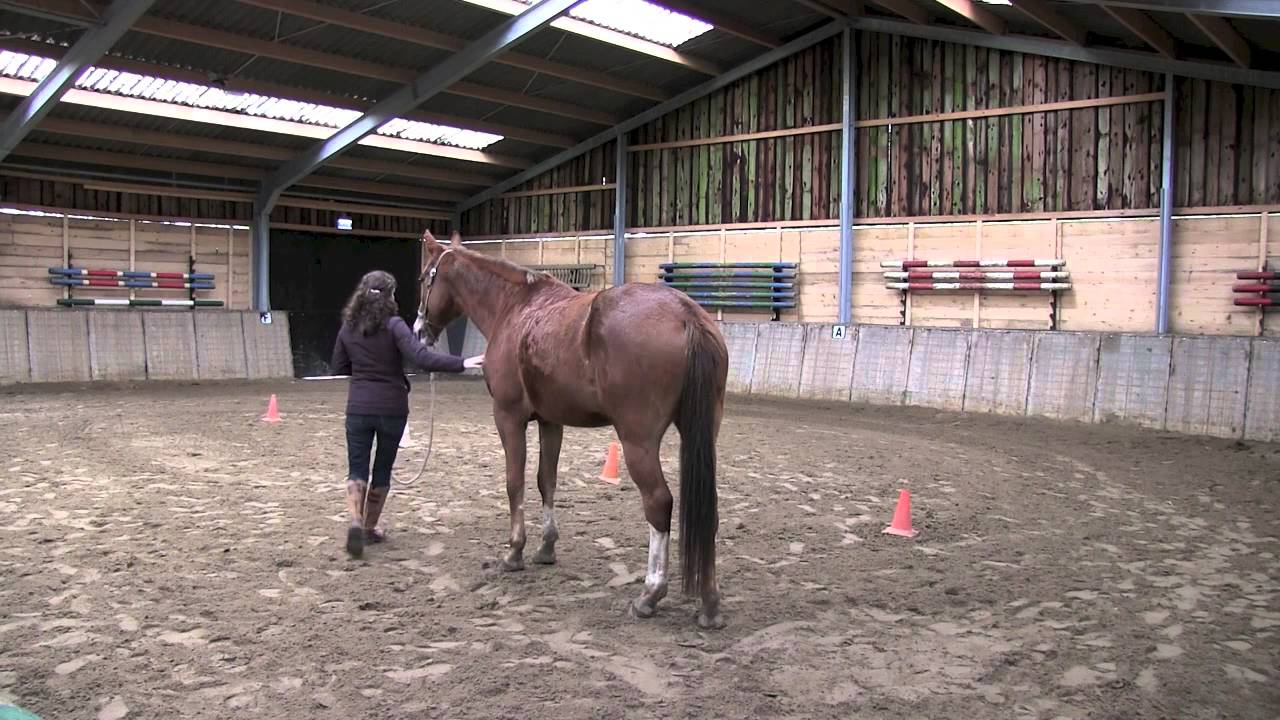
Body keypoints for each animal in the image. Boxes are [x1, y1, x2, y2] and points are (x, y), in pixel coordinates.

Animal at [412, 230, 729, 628]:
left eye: (424, 278)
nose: (419, 331)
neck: (515, 309)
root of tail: (686, 315)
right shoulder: (551, 421)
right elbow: (545, 481)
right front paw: (546, 547)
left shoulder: (508, 416)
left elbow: (514, 482)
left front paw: (514, 552)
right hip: (702, 435)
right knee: (707, 511)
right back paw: (709, 604)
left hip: (637, 441)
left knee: (658, 503)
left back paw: (650, 594)